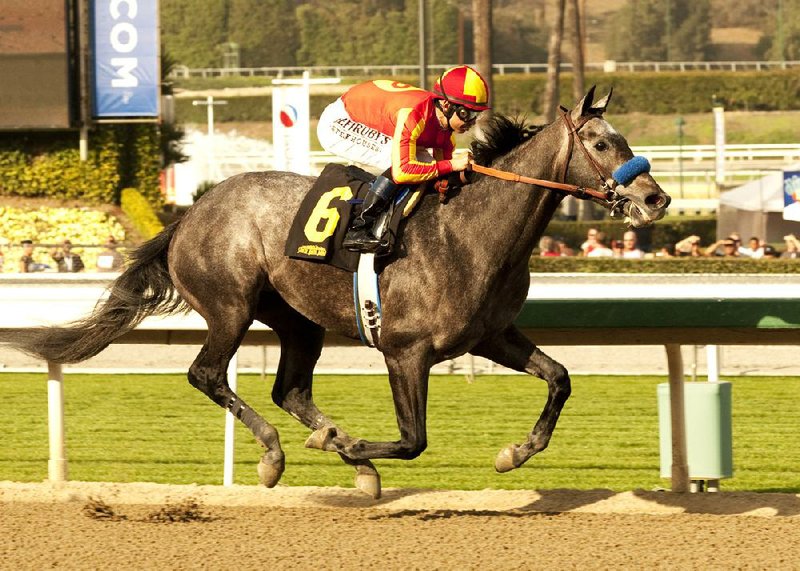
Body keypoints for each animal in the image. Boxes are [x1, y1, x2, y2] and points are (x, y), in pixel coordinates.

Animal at [15, 87, 672, 498]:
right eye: (602, 144)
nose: (657, 198)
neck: (470, 232)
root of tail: (190, 213)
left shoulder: (489, 336)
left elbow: (559, 377)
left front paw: (513, 452)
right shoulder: (405, 351)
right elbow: (412, 441)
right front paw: (357, 447)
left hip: (297, 320)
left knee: (289, 389)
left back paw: (333, 443)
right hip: (230, 305)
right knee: (208, 374)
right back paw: (277, 454)